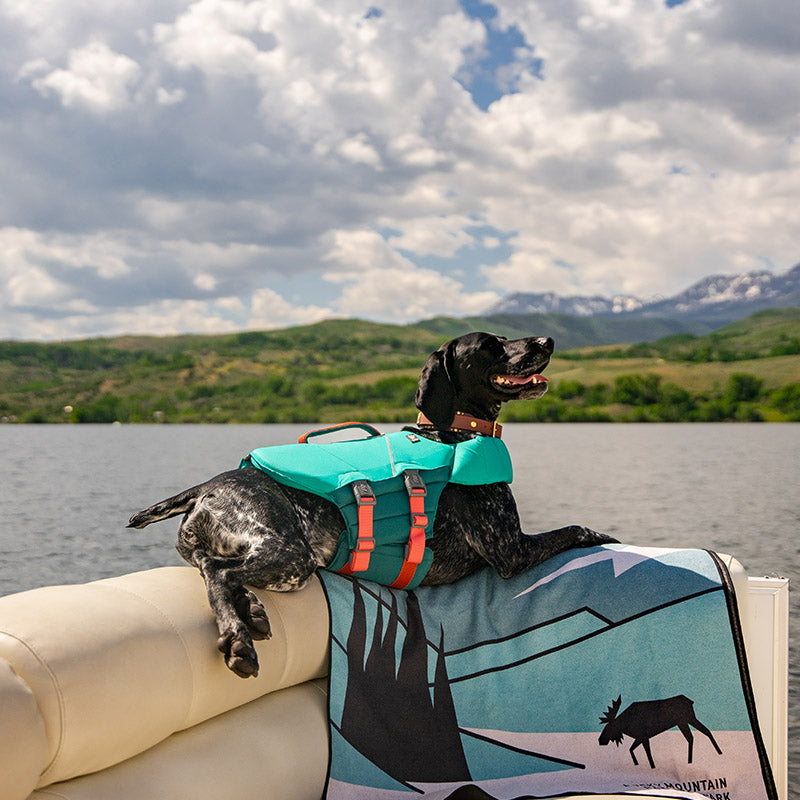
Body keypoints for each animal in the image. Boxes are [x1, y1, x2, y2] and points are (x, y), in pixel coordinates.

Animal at [130, 334, 612, 680]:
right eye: (491, 346)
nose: (546, 341)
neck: (456, 433)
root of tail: (205, 488)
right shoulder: (511, 549)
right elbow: (575, 528)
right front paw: (602, 533)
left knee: (211, 568)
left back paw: (251, 611)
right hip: (290, 555)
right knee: (218, 572)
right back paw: (237, 640)